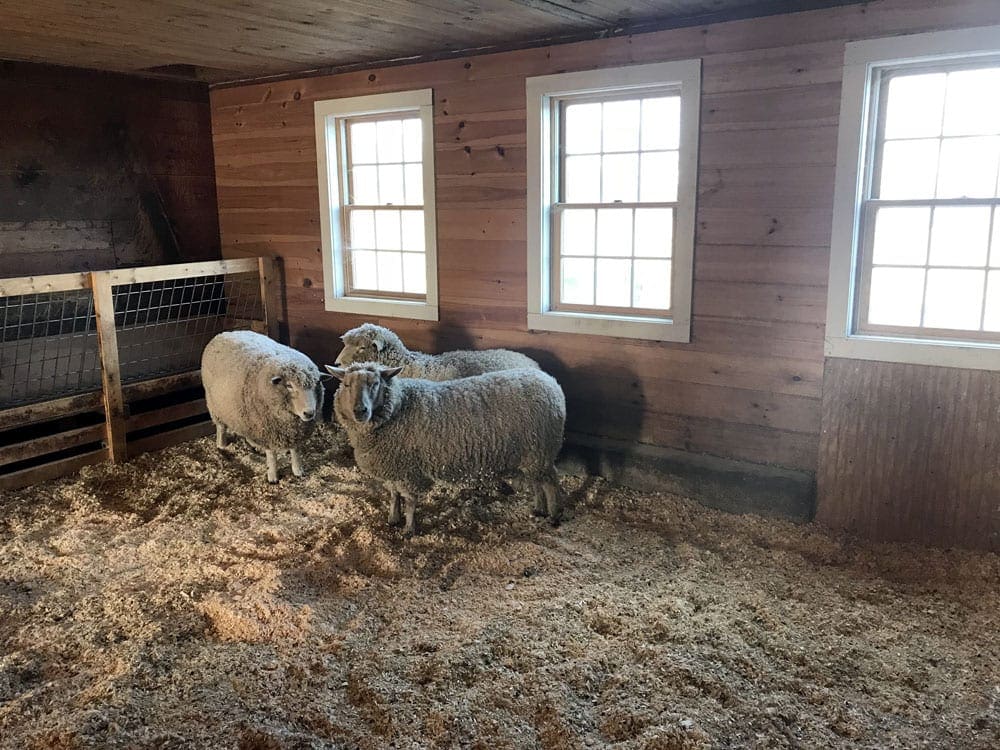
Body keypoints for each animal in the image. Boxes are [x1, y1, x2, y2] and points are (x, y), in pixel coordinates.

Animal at [200, 332, 328, 484]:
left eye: (317, 383)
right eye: (289, 385)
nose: (309, 413)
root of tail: (223, 334)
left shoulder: (293, 432)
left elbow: (295, 450)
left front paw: (298, 470)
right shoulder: (268, 430)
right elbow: (272, 454)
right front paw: (272, 476)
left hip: (244, 414)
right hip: (215, 406)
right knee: (221, 427)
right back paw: (221, 444)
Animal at [326, 362, 564, 536]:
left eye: (375, 383)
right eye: (346, 385)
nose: (360, 410)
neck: (398, 408)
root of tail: (551, 383)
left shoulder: (409, 471)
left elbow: (409, 501)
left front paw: (409, 529)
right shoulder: (394, 468)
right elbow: (394, 495)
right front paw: (393, 518)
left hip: (541, 451)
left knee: (550, 483)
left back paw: (553, 515)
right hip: (532, 455)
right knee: (537, 483)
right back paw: (538, 509)